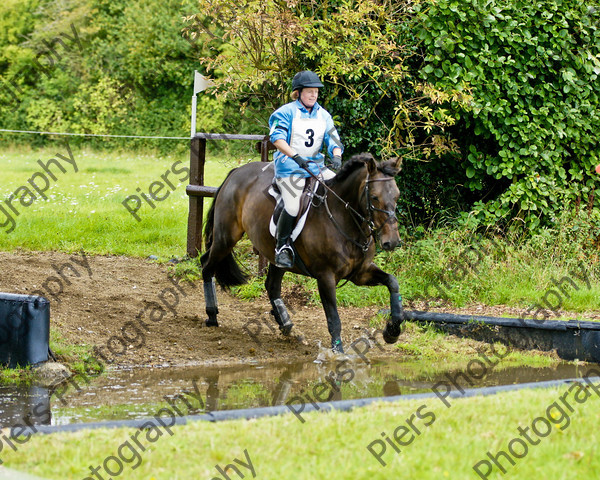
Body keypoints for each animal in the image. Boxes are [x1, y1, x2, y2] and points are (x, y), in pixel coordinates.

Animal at [200, 153, 404, 352]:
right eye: (375, 197)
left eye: (397, 196)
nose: (392, 241)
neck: (344, 219)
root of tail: (236, 172)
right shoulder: (326, 277)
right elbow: (334, 317)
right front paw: (338, 351)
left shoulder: (361, 273)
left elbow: (393, 282)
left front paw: (392, 331)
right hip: (225, 239)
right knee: (207, 266)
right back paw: (212, 315)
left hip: (273, 255)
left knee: (271, 285)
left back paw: (286, 325)